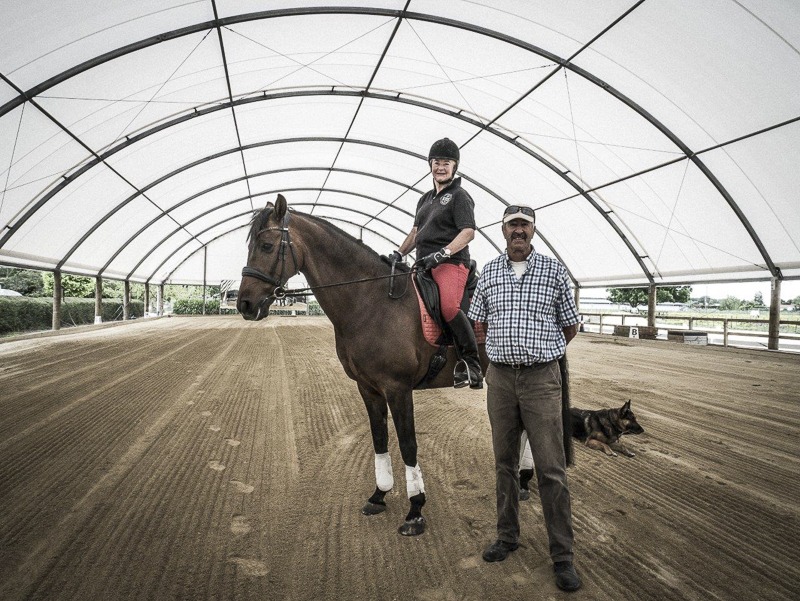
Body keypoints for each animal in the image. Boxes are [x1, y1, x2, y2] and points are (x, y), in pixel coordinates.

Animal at [238, 193, 488, 536]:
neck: (372, 301)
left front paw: (415, 510)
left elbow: (408, 444)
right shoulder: (368, 387)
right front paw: (379, 496)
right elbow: (379, 439)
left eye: (265, 245)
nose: (244, 305)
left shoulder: (397, 388)